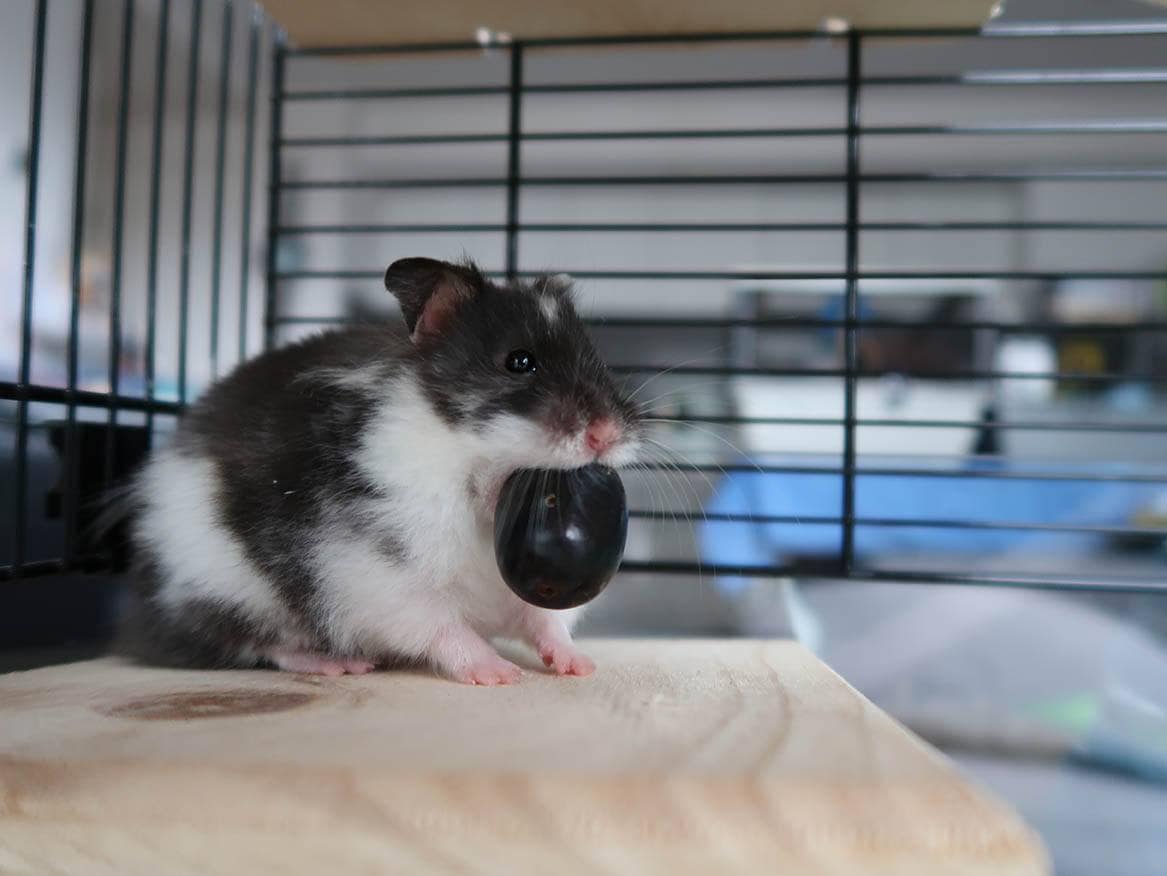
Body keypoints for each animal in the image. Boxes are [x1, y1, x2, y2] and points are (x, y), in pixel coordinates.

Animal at [119, 257, 642, 684]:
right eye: (519, 361)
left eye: (599, 362)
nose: (607, 434)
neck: (476, 489)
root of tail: (140, 615)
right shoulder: (375, 571)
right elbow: (441, 627)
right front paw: (499, 675)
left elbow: (545, 621)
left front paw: (580, 667)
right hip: (223, 589)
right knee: (253, 643)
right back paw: (340, 664)